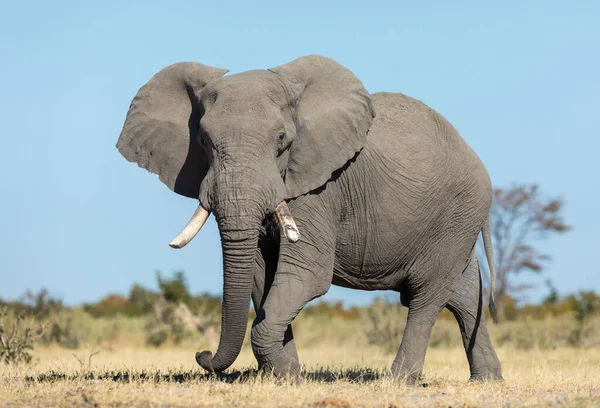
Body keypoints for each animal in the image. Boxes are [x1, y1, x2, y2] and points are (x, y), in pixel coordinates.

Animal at [116, 53, 502, 382]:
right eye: (202, 141)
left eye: (281, 139)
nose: (202, 354)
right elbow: (262, 276)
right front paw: (286, 379)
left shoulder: (320, 188)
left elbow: (307, 273)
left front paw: (285, 376)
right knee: (465, 294)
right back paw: (486, 381)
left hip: (458, 214)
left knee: (426, 296)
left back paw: (398, 382)